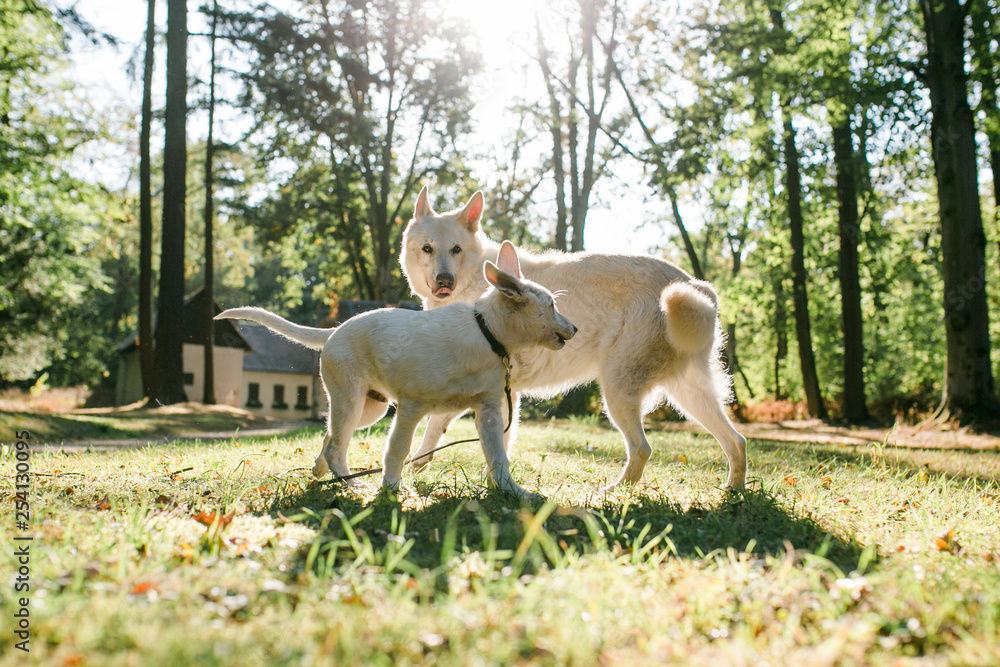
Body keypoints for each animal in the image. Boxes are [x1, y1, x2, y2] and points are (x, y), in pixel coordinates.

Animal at [219, 243, 580, 498]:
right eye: (551, 305)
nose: (575, 329)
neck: (485, 332)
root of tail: (333, 332)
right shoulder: (411, 408)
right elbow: (397, 450)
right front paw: (392, 490)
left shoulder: (489, 412)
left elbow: (498, 456)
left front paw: (514, 491)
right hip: (351, 400)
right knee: (336, 444)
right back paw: (351, 484)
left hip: (369, 408)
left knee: (329, 437)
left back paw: (324, 473)